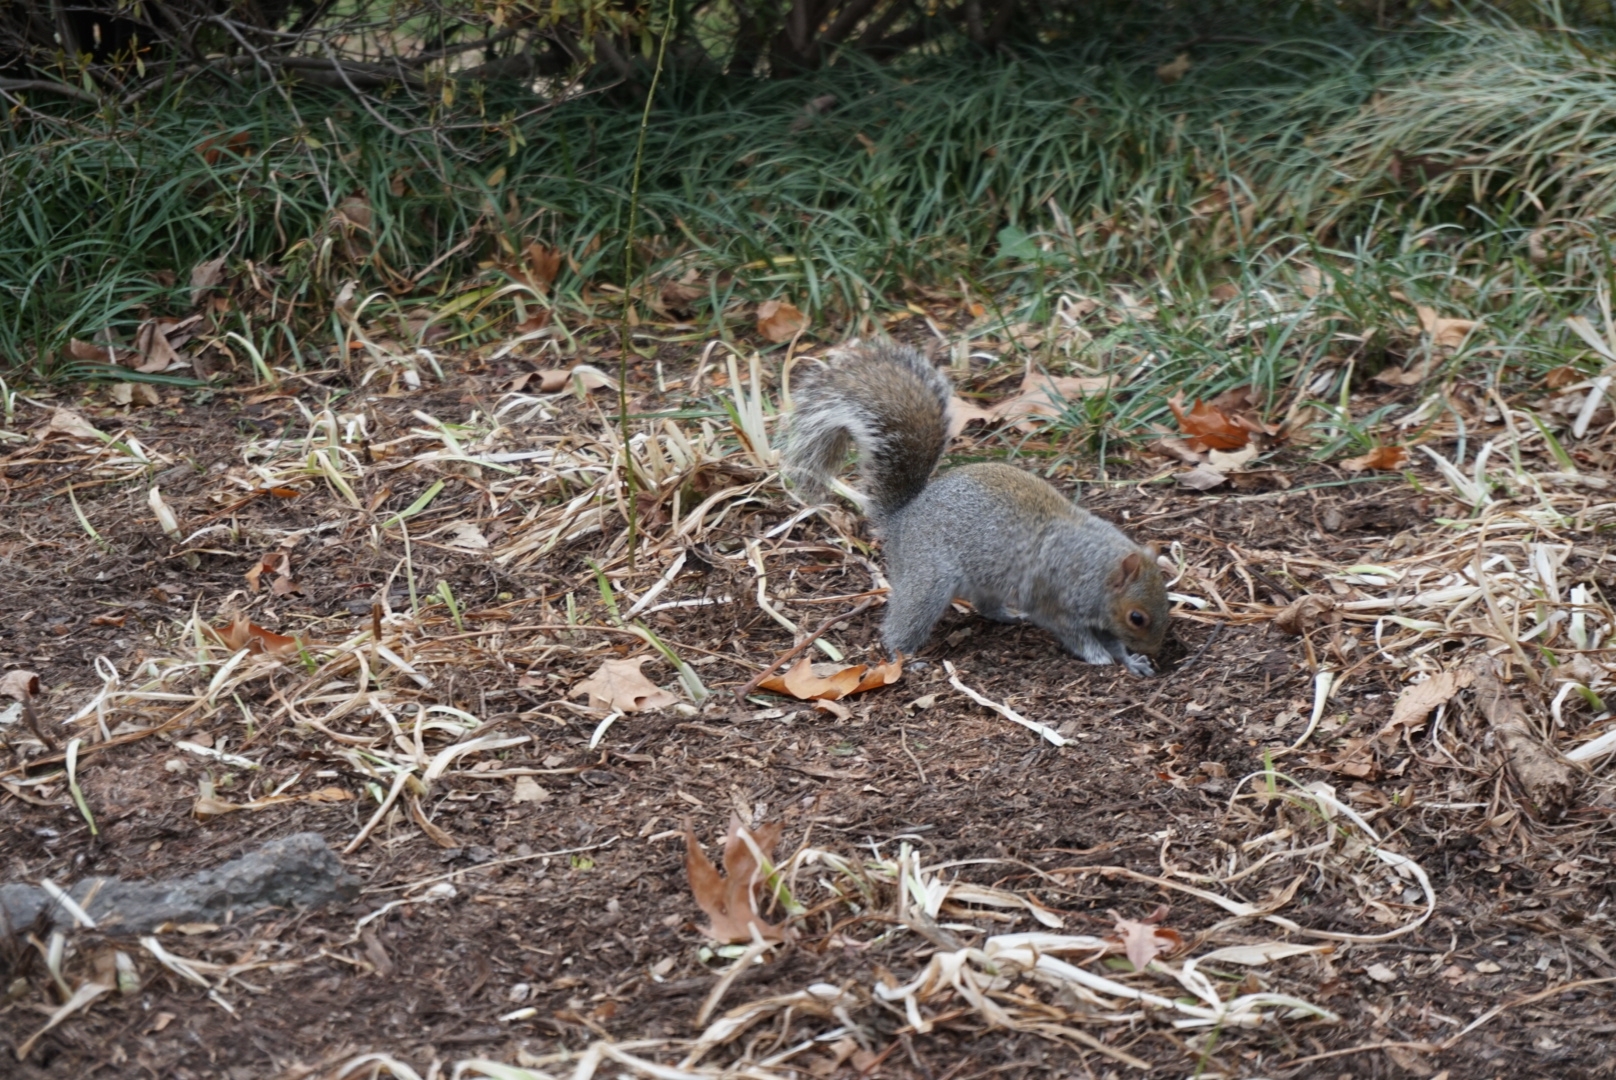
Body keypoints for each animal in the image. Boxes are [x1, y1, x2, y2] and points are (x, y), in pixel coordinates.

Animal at [778, 341, 1163, 675]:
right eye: (1137, 617)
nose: (1158, 648)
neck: (1095, 568)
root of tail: (903, 518)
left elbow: (1110, 638)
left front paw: (1131, 660)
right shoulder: (1052, 600)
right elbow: (1075, 634)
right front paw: (1098, 655)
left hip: (986, 582)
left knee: (985, 605)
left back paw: (1009, 616)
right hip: (928, 579)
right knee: (902, 625)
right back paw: (907, 657)